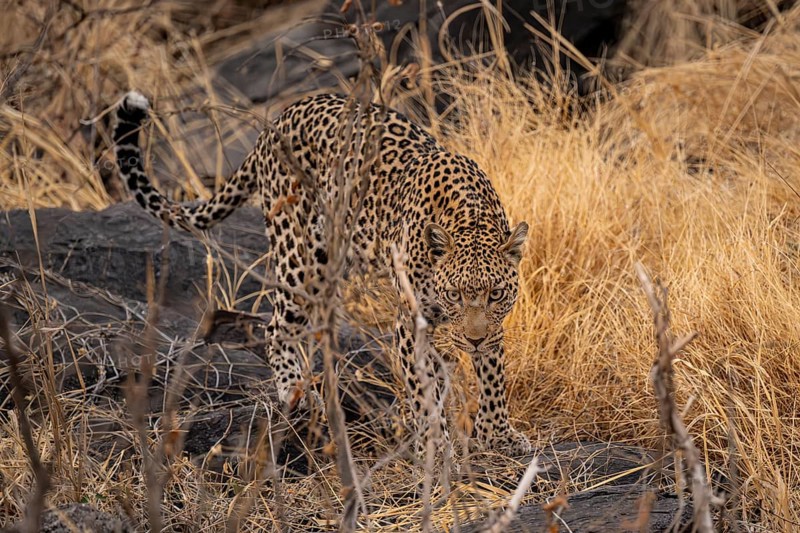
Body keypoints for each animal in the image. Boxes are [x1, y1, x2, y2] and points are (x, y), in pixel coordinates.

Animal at [114, 91, 531, 455]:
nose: (473, 339)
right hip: (300, 256)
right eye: (454, 295)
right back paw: (295, 390)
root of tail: (278, 120)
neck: (470, 218)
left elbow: (493, 374)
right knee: (275, 325)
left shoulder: (493, 325)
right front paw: (437, 446)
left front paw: (498, 434)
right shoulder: (410, 323)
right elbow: (422, 388)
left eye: (496, 294)